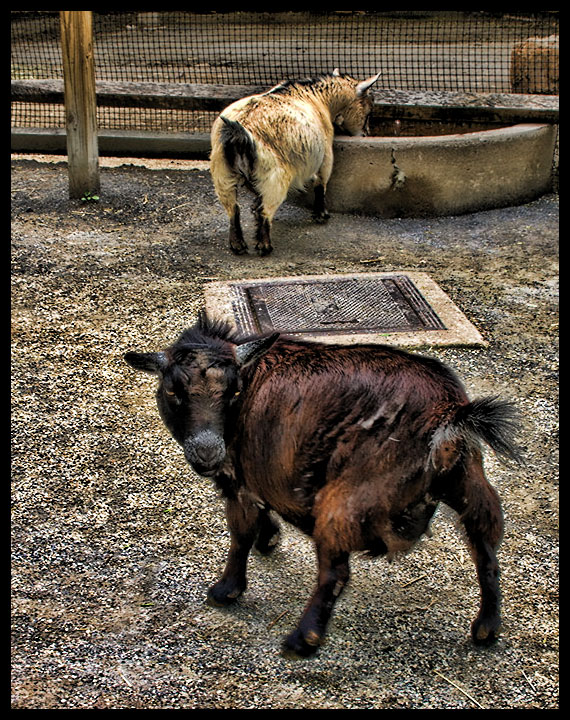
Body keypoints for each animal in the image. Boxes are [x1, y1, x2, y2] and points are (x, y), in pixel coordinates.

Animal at [125, 316, 520, 660]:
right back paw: (487, 627)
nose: (208, 453)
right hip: (467, 480)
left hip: (346, 500)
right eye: (172, 390)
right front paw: (269, 538)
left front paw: (226, 590)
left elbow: (240, 535)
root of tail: (448, 415)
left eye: (235, 391)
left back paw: (304, 638)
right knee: (485, 546)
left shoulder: (238, 481)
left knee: (335, 573)